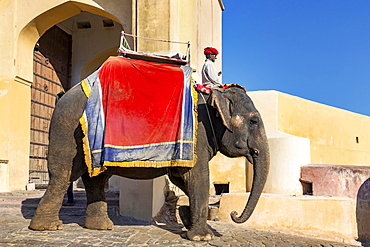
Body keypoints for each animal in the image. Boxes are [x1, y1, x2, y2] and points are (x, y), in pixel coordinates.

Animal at [28, 82, 270, 240]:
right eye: (254, 121)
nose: (233, 214)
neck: (213, 95)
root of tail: (63, 95)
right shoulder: (197, 135)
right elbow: (198, 177)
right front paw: (203, 238)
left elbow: (181, 178)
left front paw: (187, 218)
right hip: (68, 129)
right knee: (63, 175)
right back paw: (48, 227)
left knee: (95, 179)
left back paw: (101, 227)